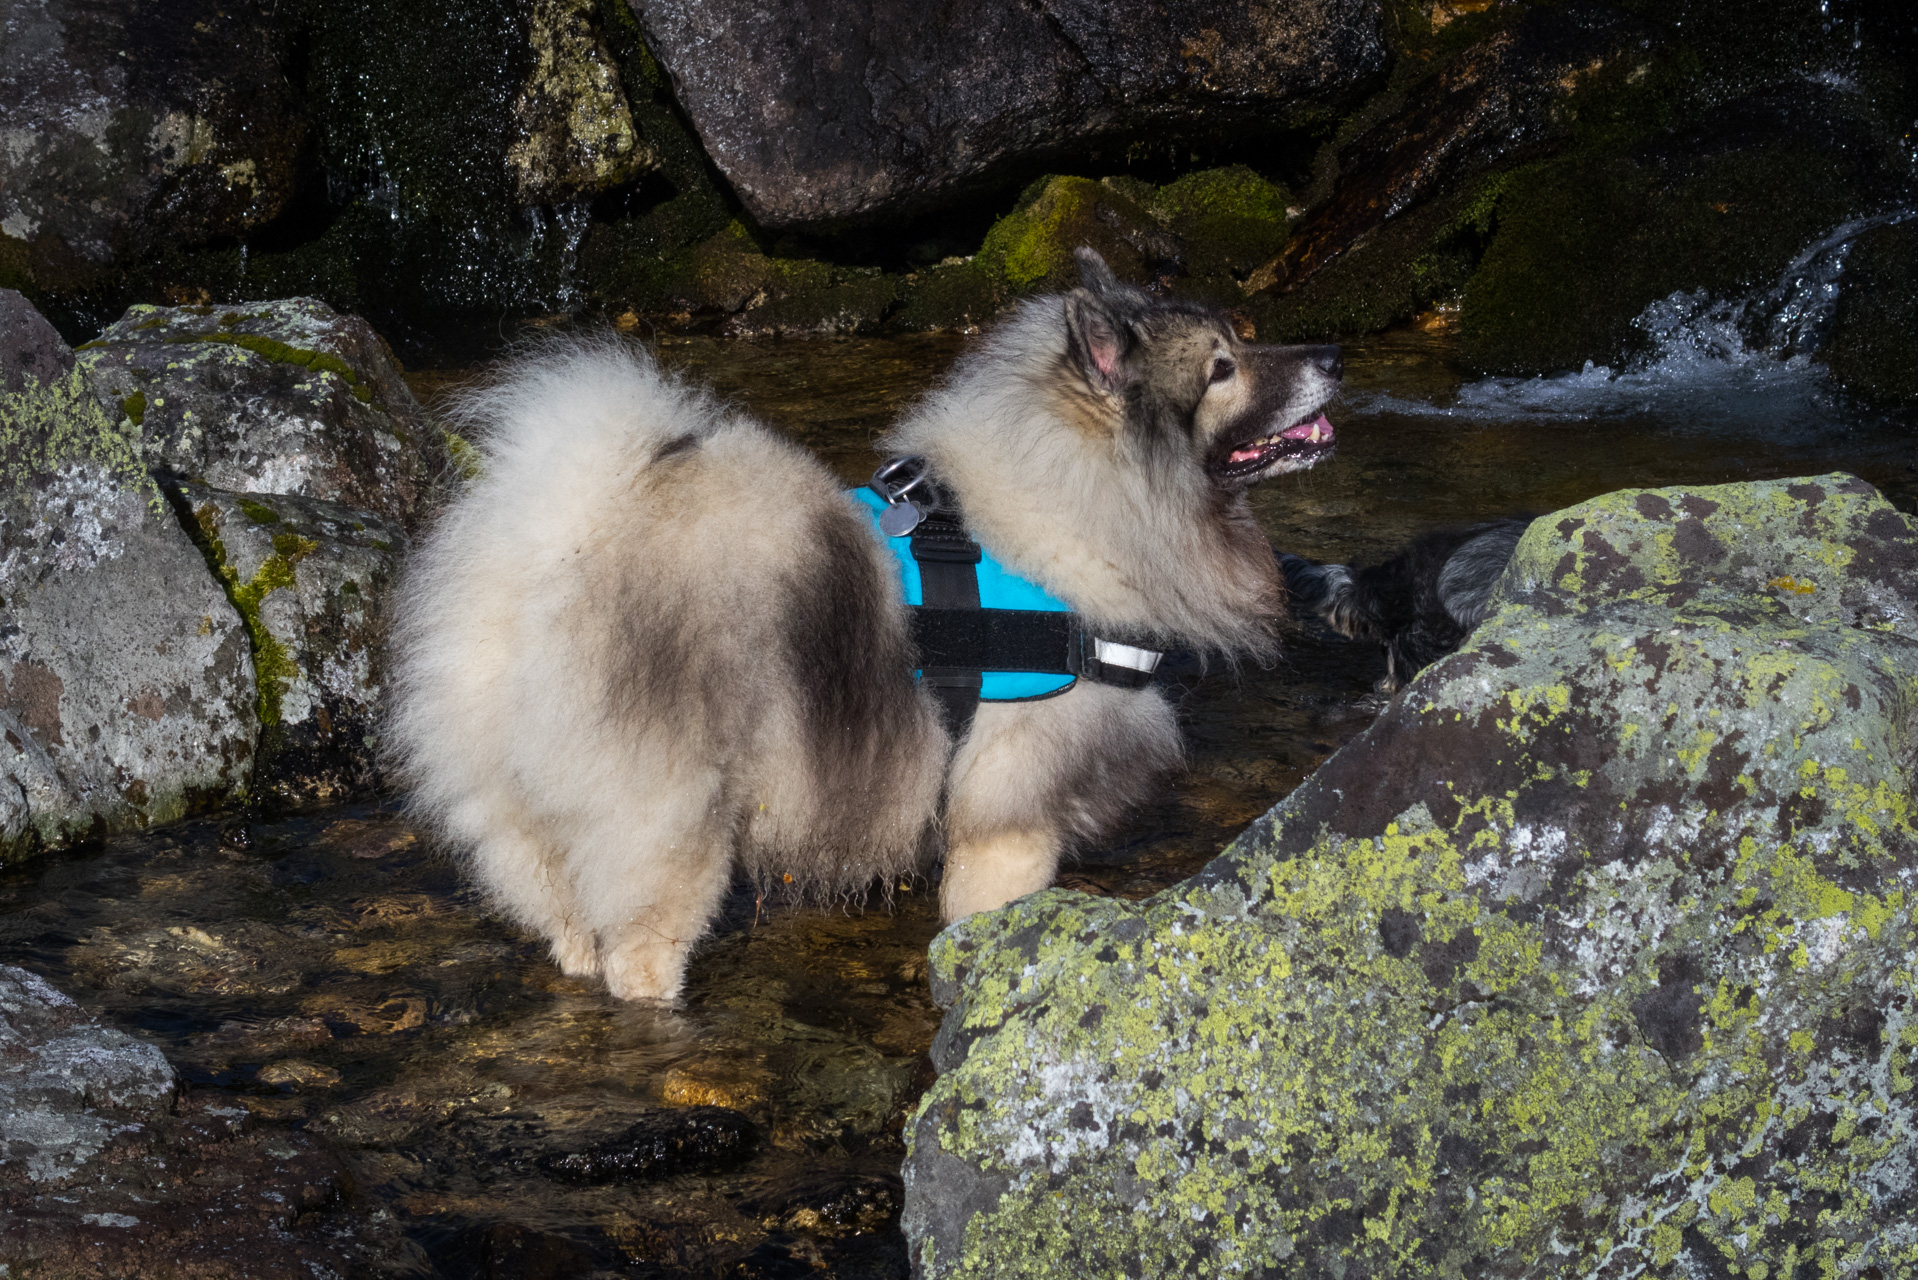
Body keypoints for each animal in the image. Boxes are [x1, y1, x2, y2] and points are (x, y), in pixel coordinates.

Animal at [387, 249, 1342, 997]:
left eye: (1241, 339)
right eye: (1221, 370)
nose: (1333, 354)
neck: (1070, 516)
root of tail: (555, 538)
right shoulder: (1010, 812)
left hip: (532, 825)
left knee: (571, 933)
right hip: (668, 822)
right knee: (640, 954)